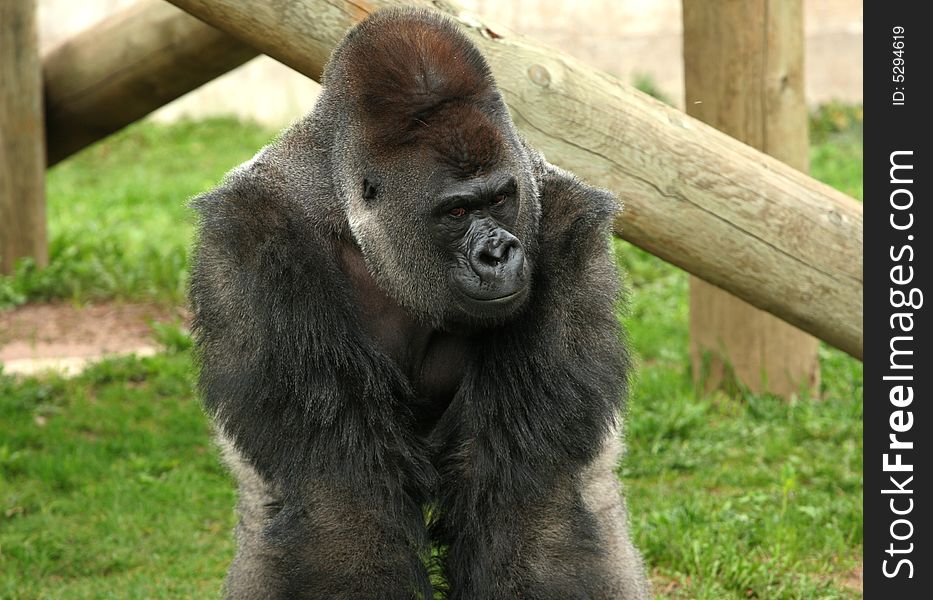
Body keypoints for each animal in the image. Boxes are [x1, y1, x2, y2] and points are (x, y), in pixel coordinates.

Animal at [189, 5, 648, 600]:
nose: (498, 253)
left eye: (500, 199)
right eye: (456, 212)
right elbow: (339, 503)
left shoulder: (567, 228)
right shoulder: (255, 241)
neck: (348, 211)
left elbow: (531, 498)